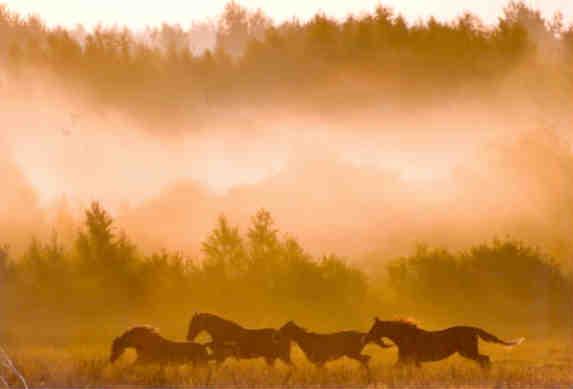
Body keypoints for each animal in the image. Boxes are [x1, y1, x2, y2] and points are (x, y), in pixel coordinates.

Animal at [362, 316, 524, 368]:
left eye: (374, 328)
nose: (365, 337)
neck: (401, 336)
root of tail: (473, 328)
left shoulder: (407, 359)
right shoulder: (409, 360)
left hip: (468, 351)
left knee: (485, 359)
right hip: (467, 352)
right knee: (485, 360)